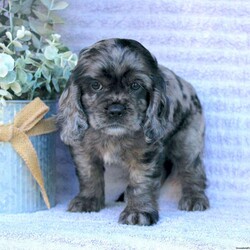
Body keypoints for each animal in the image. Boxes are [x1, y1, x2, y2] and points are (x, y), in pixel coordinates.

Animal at [57, 38, 209, 227]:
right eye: (96, 85)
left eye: (135, 86)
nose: (116, 110)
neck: (113, 135)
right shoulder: (83, 150)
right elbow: (89, 174)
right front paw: (87, 200)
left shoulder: (145, 153)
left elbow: (141, 181)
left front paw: (138, 211)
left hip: (187, 141)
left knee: (192, 170)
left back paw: (195, 198)